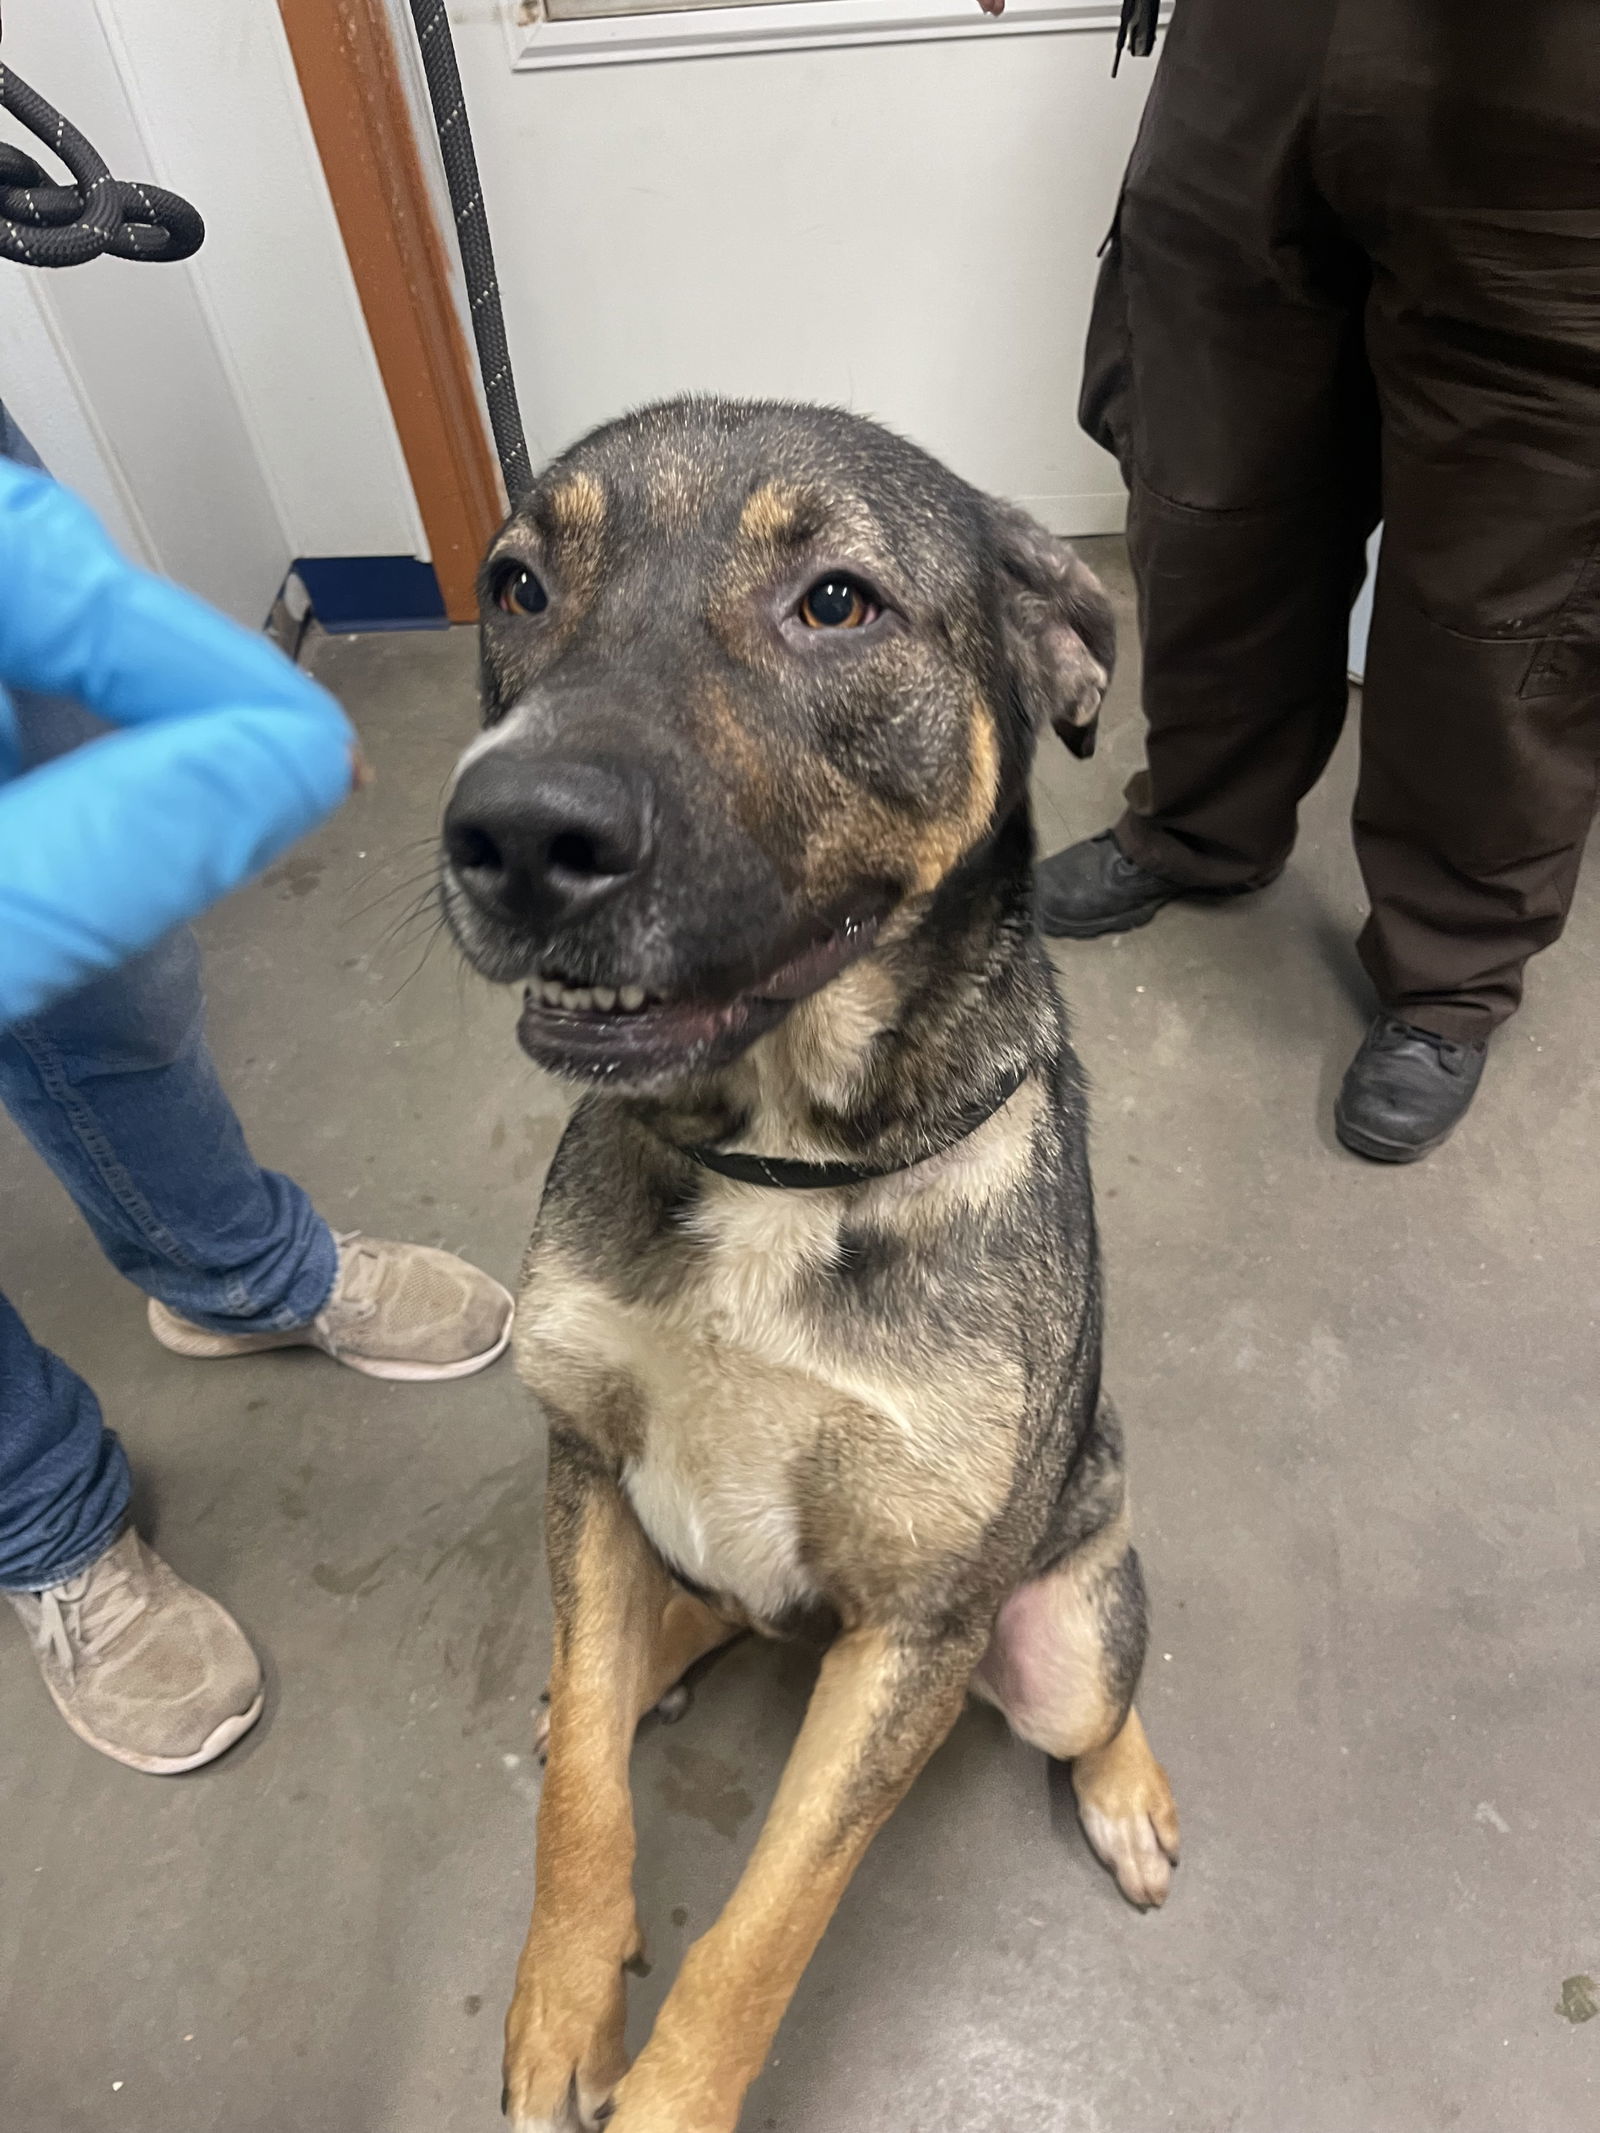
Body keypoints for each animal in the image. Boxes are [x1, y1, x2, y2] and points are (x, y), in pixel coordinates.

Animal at [439, 401, 1177, 2133]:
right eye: (516, 585)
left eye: (836, 602)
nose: (513, 833)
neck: (777, 1153)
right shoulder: (584, 1455)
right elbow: (579, 1803)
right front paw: (561, 2005)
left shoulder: (913, 1630)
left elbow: (770, 1921)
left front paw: (665, 2096)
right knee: (634, 1650)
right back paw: (632, 1663)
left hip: (1051, 1624)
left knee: (1101, 1696)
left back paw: (1127, 1789)